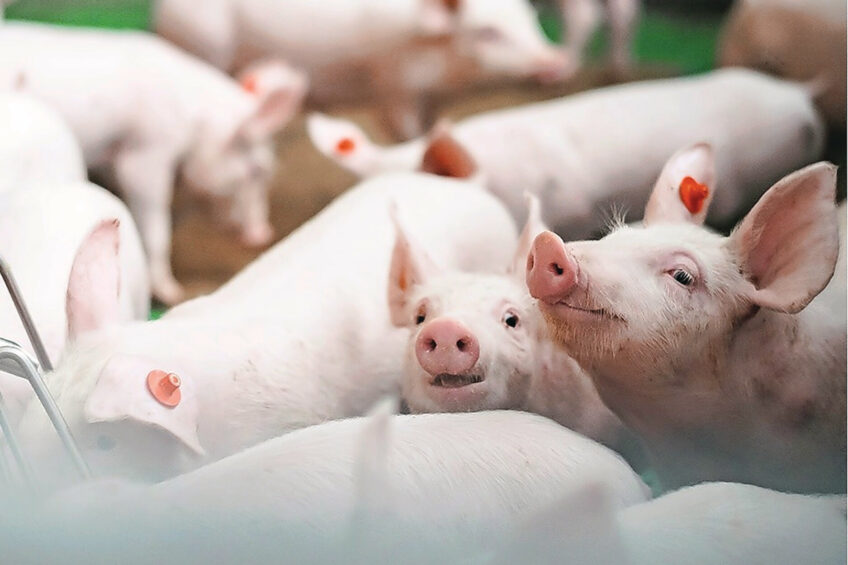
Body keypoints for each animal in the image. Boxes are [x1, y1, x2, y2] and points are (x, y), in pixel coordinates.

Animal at [0, 22, 307, 304]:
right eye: (256, 171)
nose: (263, 236)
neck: (195, 123)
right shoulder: (148, 153)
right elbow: (157, 225)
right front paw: (171, 292)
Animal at [154, 0, 569, 139]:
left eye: (530, 19)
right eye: (488, 32)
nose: (555, 61)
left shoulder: (431, 95)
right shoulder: (394, 87)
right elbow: (404, 132)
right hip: (203, 44)